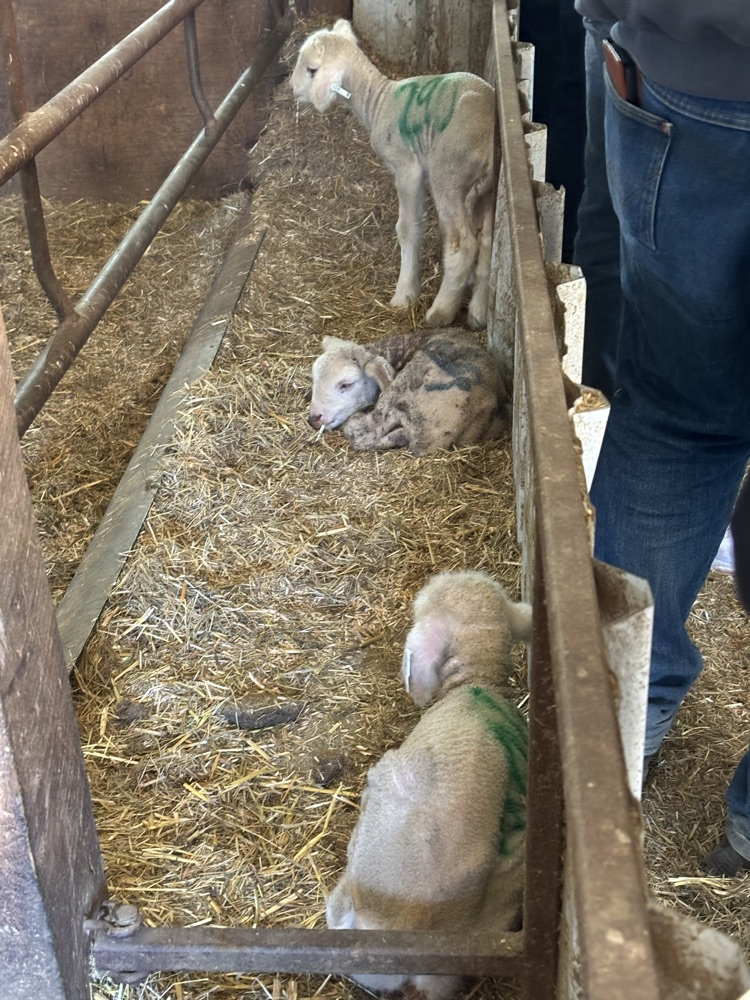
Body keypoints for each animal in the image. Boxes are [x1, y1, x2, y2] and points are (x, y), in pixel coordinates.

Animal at [290, 19, 496, 330]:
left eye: (312, 69)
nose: (291, 88)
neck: (378, 101)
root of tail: (488, 136)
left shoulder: (407, 166)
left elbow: (408, 227)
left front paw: (404, 294)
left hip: (448, 173)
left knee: (463, 243)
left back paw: (440, 312)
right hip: (487, 188)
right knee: (486, 241)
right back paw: (478, 313)